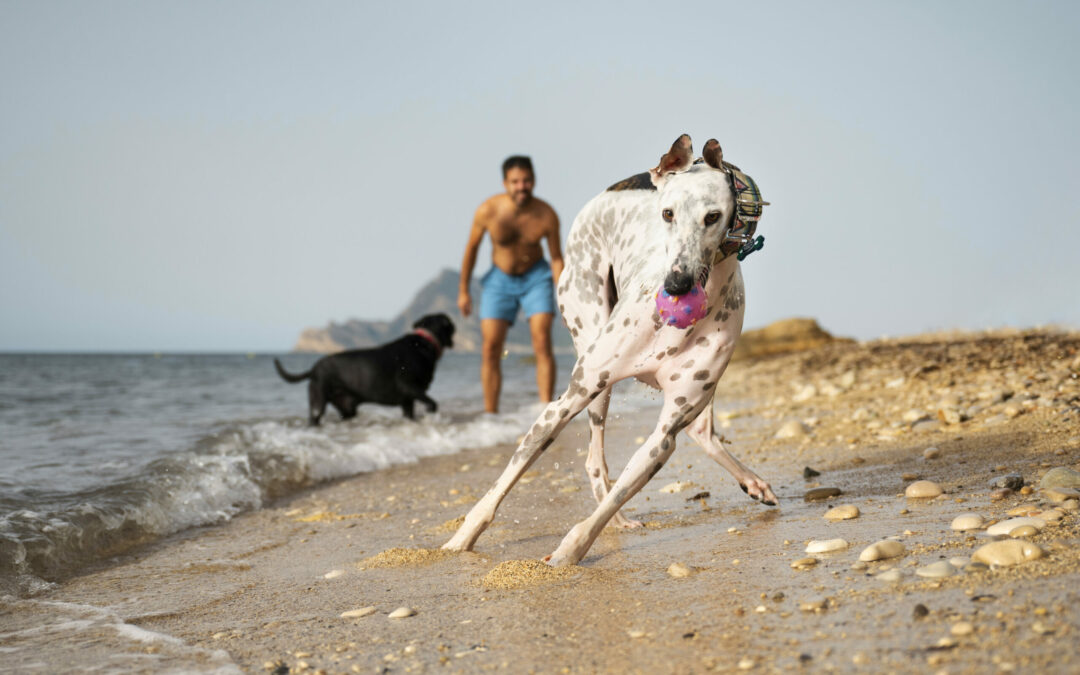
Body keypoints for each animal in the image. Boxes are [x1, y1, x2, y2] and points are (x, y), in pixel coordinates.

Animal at [274, 313, 455, 423]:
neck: (425, 342)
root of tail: (314, 369)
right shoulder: (409, 387)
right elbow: (432, 403)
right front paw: (430, 411)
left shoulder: (407, 400)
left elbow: (411, 413)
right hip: (318, 404)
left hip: (345, 408)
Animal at [444, 134, 777, 565]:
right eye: (667, 213)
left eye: (713, 217)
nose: (677, 285)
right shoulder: (567, 399)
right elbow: (508, 477)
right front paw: (460, 540)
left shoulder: (665, 433)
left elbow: (620, 492)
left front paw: (568, 553)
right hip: (592, 366)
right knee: (595, 459)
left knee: (697, 430)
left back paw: (748, 483)